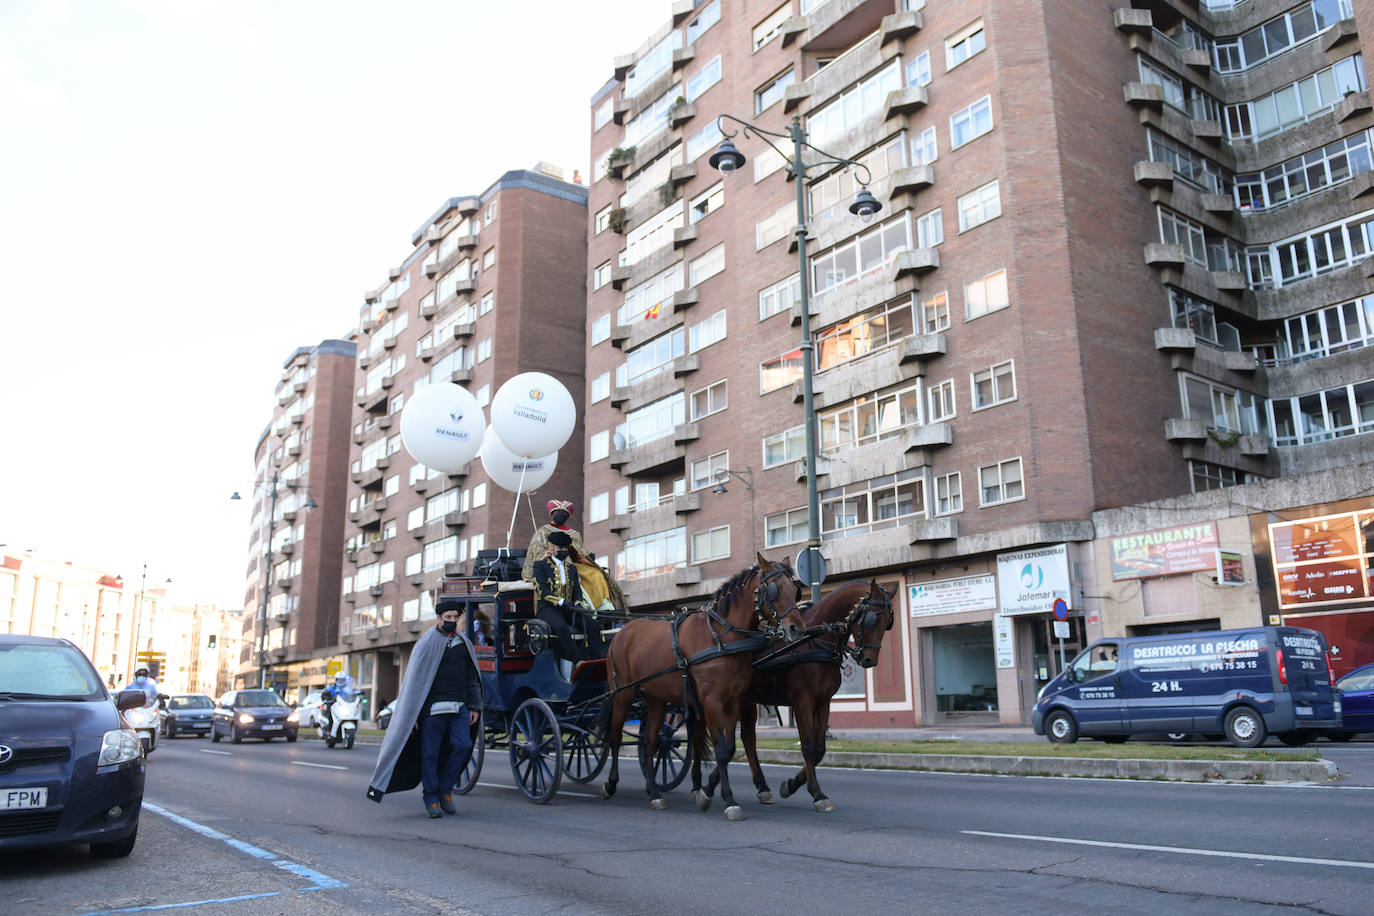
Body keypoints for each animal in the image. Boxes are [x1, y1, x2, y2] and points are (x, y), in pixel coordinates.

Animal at [601, 554, 802, 818]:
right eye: (773, 590)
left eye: (795, 590)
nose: (796, 628)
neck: (721, 637)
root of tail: (624, 631)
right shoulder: (711, 701)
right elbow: (721, 749)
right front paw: (727, 800)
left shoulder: (733, 702)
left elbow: (728, 747)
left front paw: (708, 793)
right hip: (622, 694)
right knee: (614, 737)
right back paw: (611, 783)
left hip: (655, 699)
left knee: (649, 742)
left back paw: (654, 793)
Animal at [708, 576, 890, 813]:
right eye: (871, 620)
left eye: (888, 623)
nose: (869, 659)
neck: (813, 642)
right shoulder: (803, 702)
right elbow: (808, 747)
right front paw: (817, 793)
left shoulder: (823, 702)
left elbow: (820, 749)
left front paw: (792, 784)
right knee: (738, 739)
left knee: (747, 739)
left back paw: (749, 785)